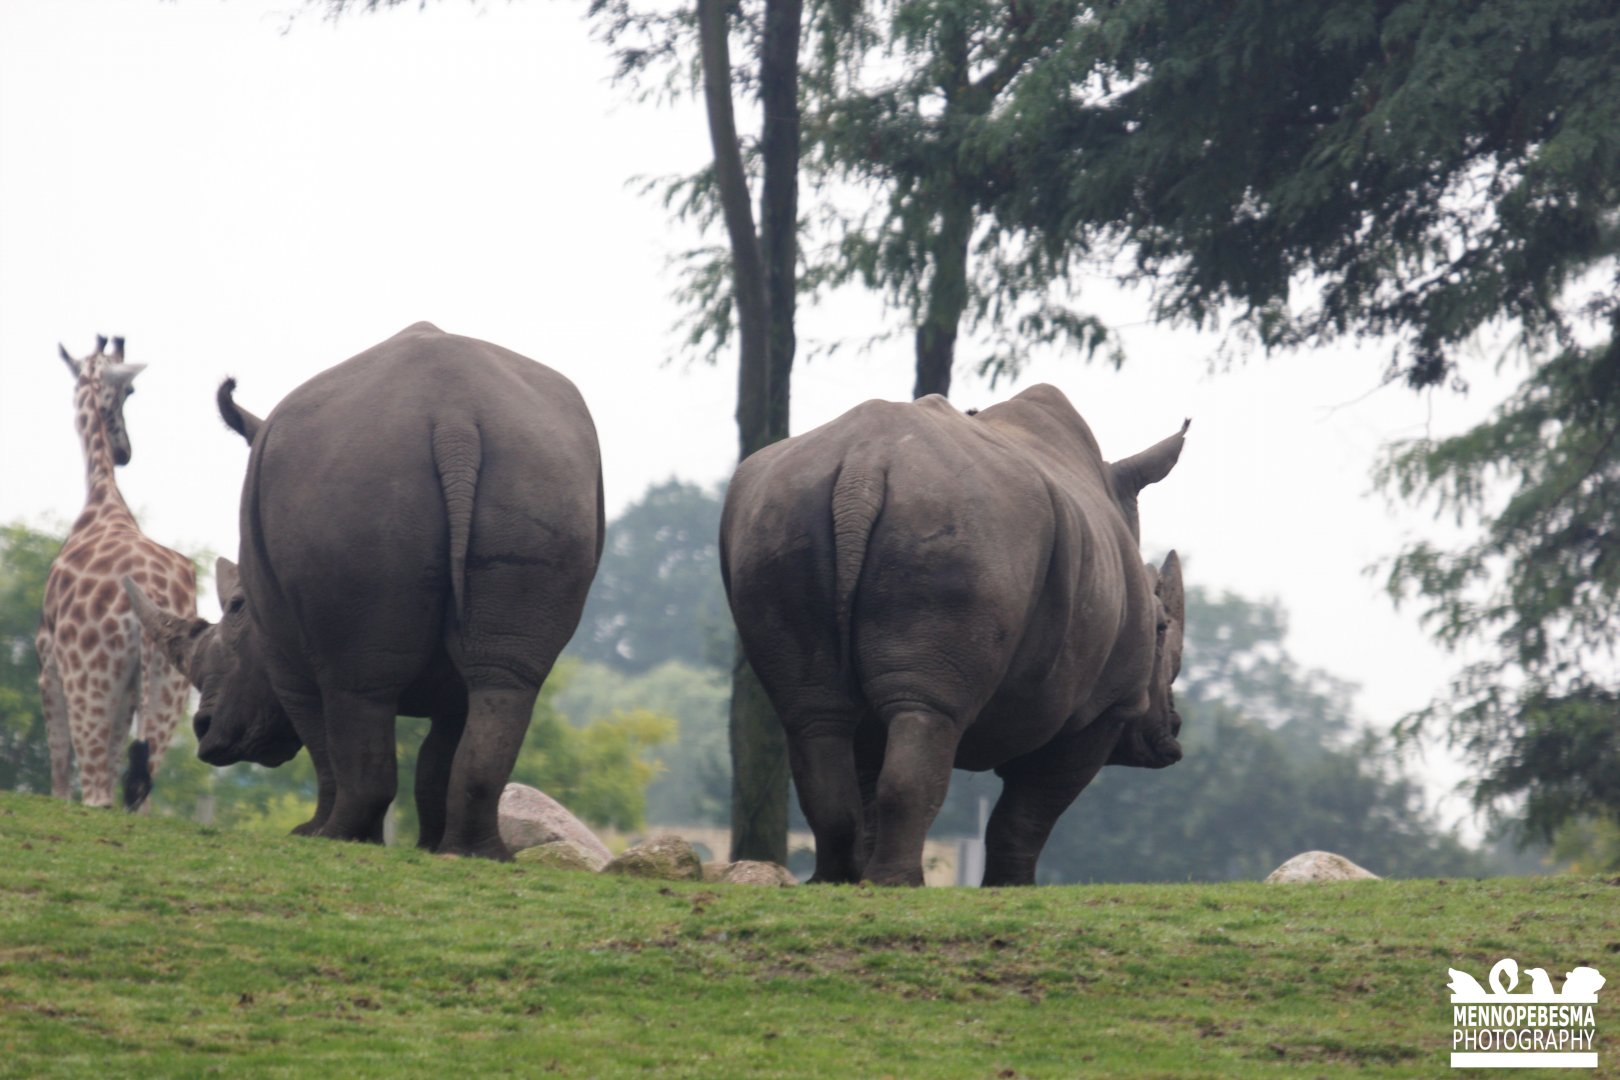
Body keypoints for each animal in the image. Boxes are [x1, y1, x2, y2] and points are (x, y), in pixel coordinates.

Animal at [126, 322, 604, 859]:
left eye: (235, 607)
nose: (205, 734)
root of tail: (455, 420)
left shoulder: (281, 655)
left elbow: (322, 739)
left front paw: (314, 834)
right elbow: (437, 757)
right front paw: (430, 848)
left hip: (360, 482)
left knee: (356, 691)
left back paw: (339, 835)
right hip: (535, 468)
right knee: (501, 682)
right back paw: (477, 853)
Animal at [720, 384, 1187, 886]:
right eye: (1162, 628)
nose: (1174, 733)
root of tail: (862, 468)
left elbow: (867, 775)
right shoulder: (1106, 707)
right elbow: (1030, 813)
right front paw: (1011, 889)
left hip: (779, 518)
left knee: (816, 715)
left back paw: (837, 881)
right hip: (960, 527)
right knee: (928, 713)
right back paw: (897, 885)